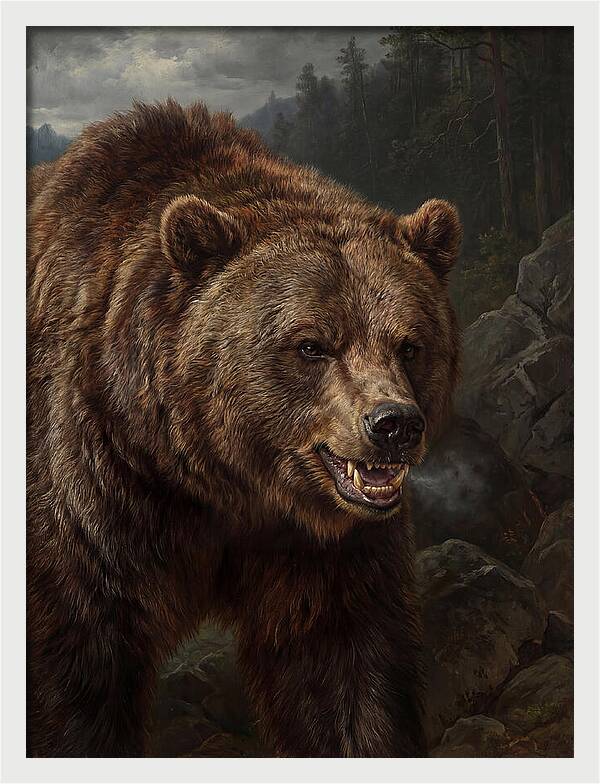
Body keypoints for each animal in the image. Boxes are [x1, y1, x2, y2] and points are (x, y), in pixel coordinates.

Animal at [27, 99, 461, 757]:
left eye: (409, 344)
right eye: (311, 345)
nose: (394, 425)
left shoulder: (325, 550)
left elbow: (345, 674)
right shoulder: (92, 492)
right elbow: (77, 671)